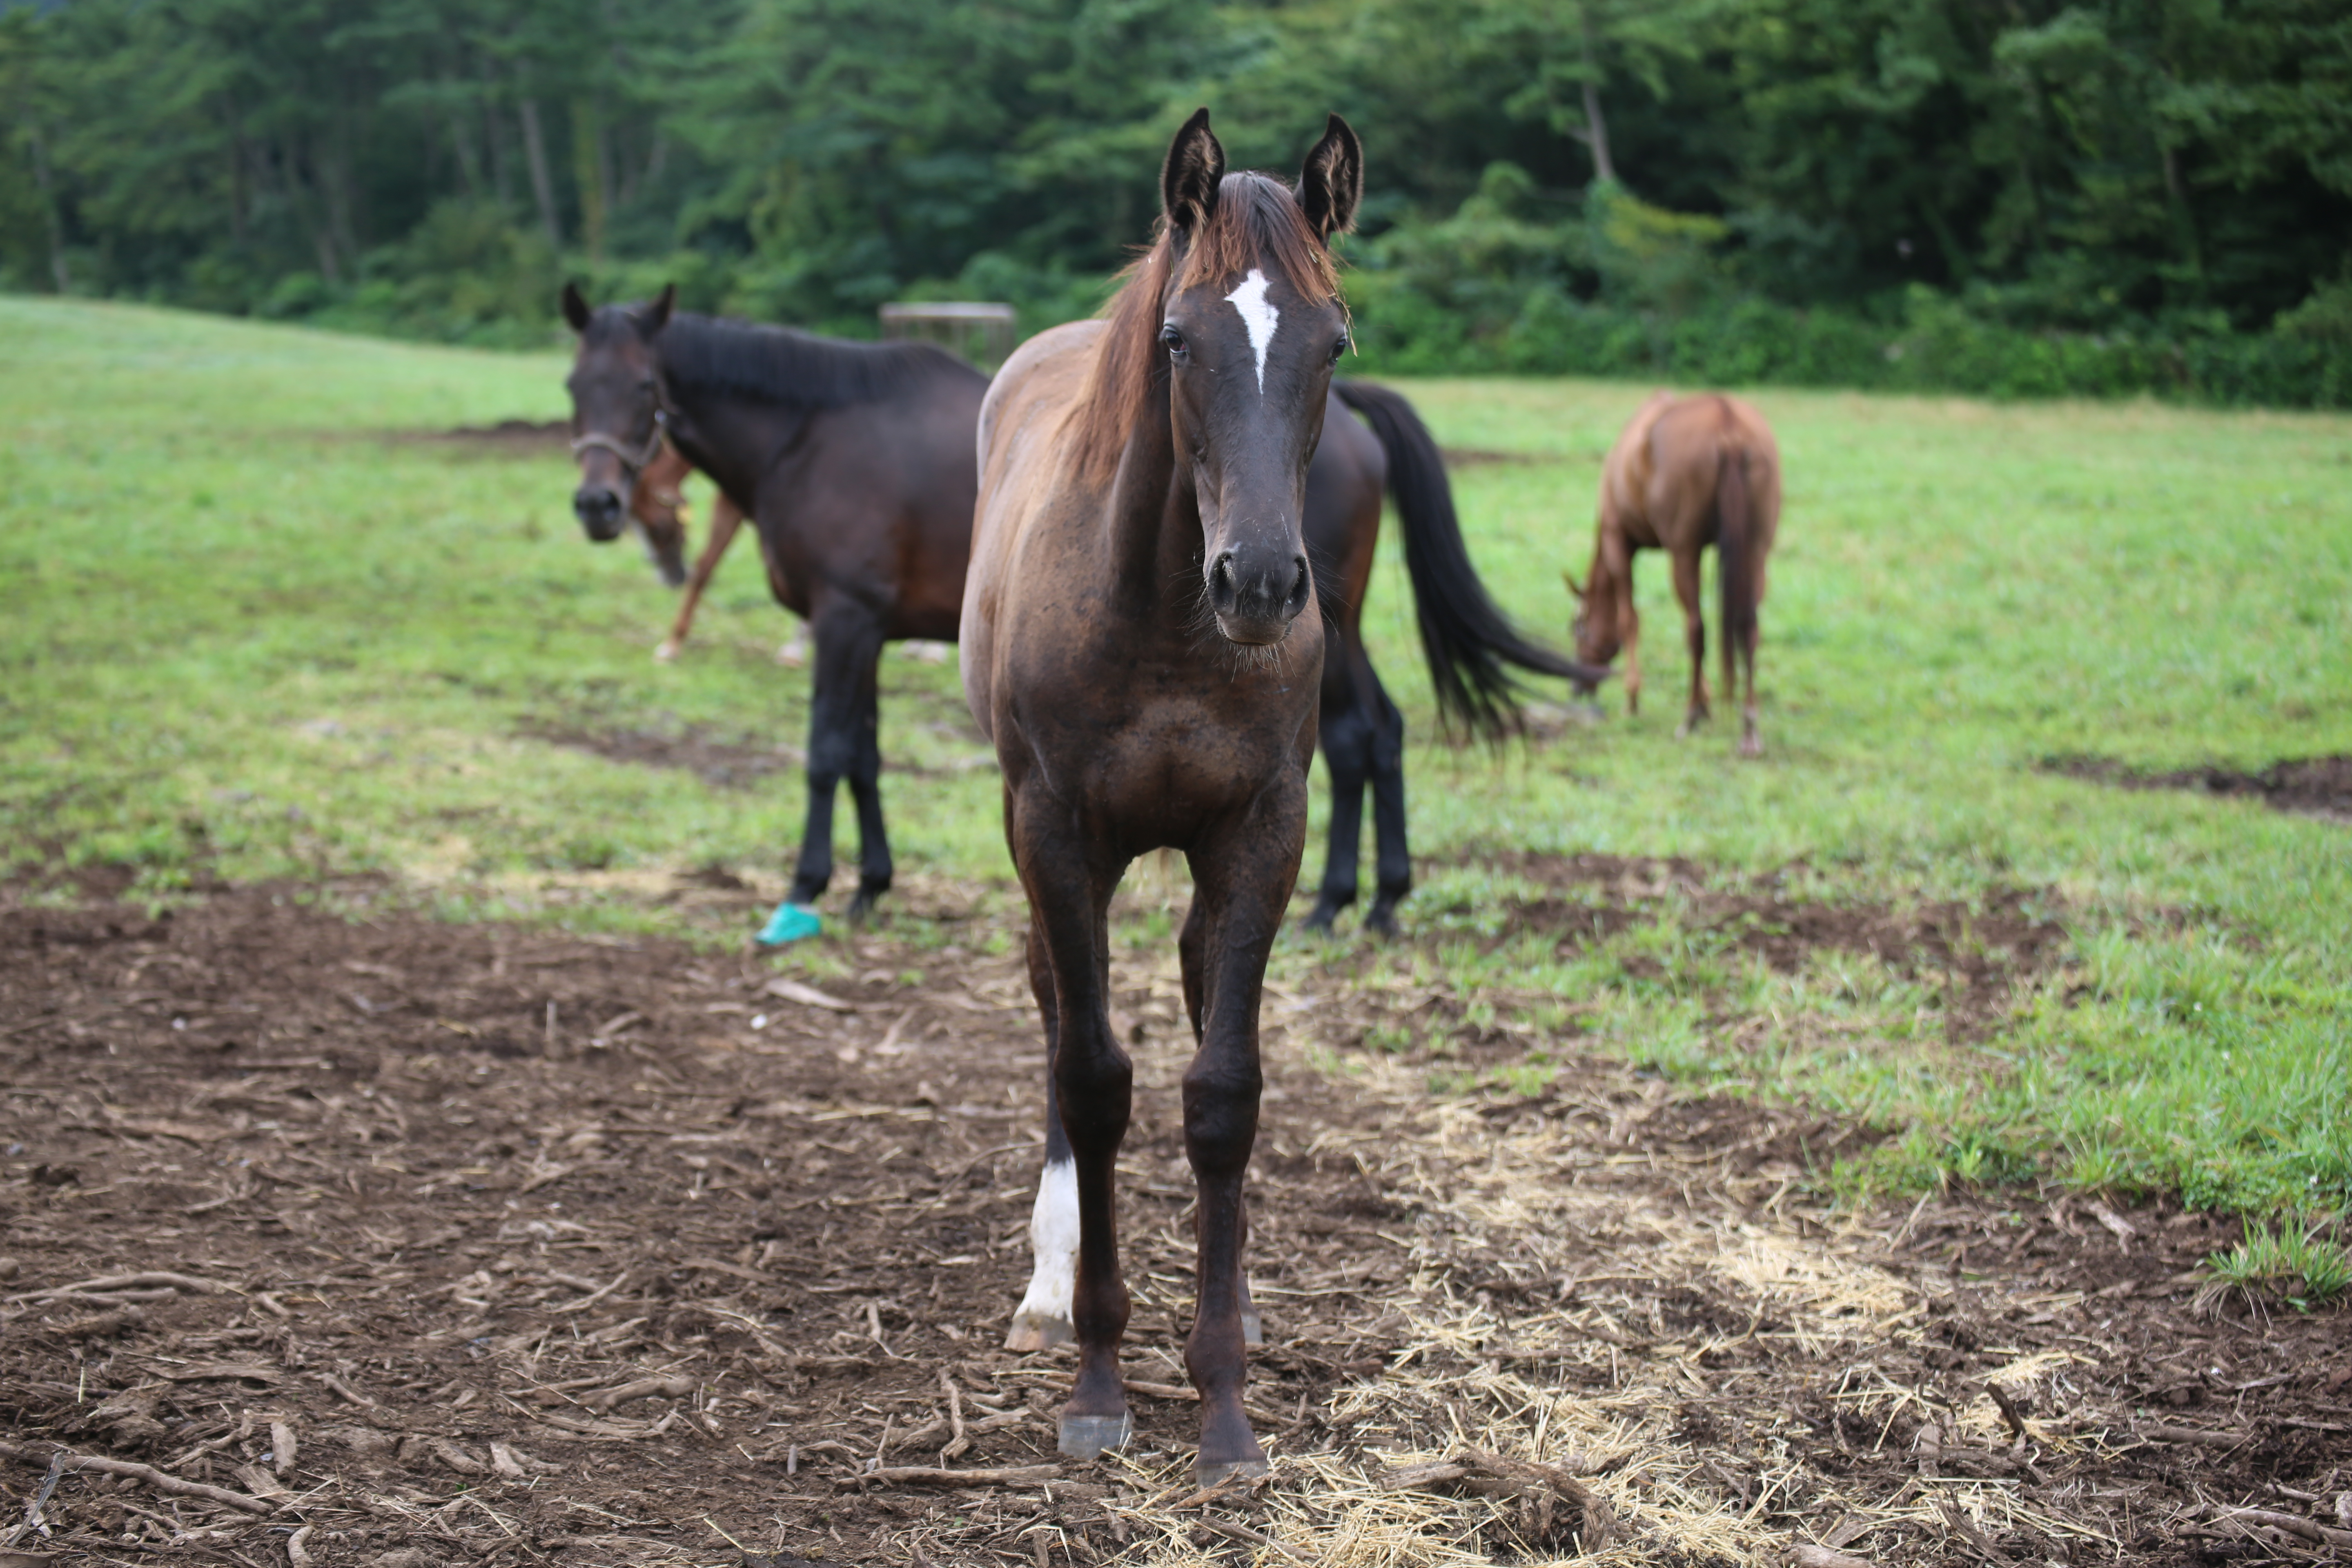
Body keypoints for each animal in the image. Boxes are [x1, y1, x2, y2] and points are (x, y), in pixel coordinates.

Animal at [559, 285, 983, 931]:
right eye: (573, 384)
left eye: (643, 385)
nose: (596, 506)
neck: (812, 439)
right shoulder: (869, 632)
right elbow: (864, 758)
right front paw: (871, 884)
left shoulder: (843, 620)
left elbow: (824, 753)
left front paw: (805, 886)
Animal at [973, 110, 1392, 1486]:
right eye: (1178, 341)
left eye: (1333, 344)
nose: (1258, 579)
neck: (1162, 613)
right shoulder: (1057, 836)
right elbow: (1096, 1076)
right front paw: (1101, 1376)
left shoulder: (1263, 832)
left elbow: (1224, 1090)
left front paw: (1224, 1396)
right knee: (1059, 1018)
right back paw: (1050, 1290)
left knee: (1203, 985)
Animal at [1561, 392, 1778, 762]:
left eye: (1578, 629)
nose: (1577, 688)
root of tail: (1727, 423)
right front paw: (1706, 700)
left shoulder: (1618, 541)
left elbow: (1629, 621)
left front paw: (1633, 699)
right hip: (1755, 552)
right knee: (1748, 628)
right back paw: (1749, 728)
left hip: (1684, 553)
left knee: (1696, 629)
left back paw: (1689, 717)